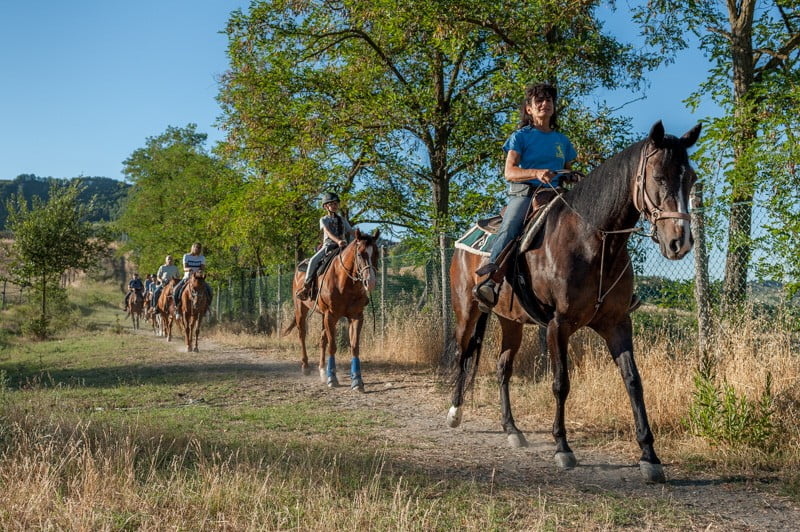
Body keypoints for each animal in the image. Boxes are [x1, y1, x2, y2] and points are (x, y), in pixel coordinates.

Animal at [284, 228, 380, 392]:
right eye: (360, 254)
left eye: (377, 254)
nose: (370, 282)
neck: (344, 282)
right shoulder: (331, 316)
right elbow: (333, 346)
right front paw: (332, 379)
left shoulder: (356, 317)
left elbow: (354, 347)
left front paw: (357, 381)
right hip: (301, 309)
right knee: (302, 334)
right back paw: (306, 367)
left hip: (323, 315)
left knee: (323, 339)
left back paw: (323, 370)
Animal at [447, 121, 701, 483]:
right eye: (659, 177)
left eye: (690, 178)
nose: (680, 242)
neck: (592, 240)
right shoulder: (558, 325)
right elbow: (560, 383)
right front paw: (562, 447)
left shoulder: (617, 323)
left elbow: (633, 382)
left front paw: (649, 456)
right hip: (466, 312)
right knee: (462, 355)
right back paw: (454, 413)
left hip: (510, 321)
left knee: (502, 368)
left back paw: (512, 430)